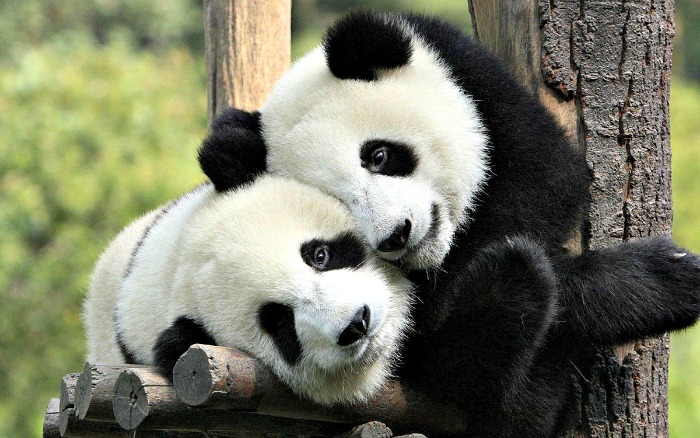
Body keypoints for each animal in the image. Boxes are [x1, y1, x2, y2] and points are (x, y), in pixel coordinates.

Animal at [196, 10, 700, 438]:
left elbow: (548, 181)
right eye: (340, 203)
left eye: (379, 155)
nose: (396, 235)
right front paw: (663, 278)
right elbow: (442, 344)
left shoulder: (476, 83)